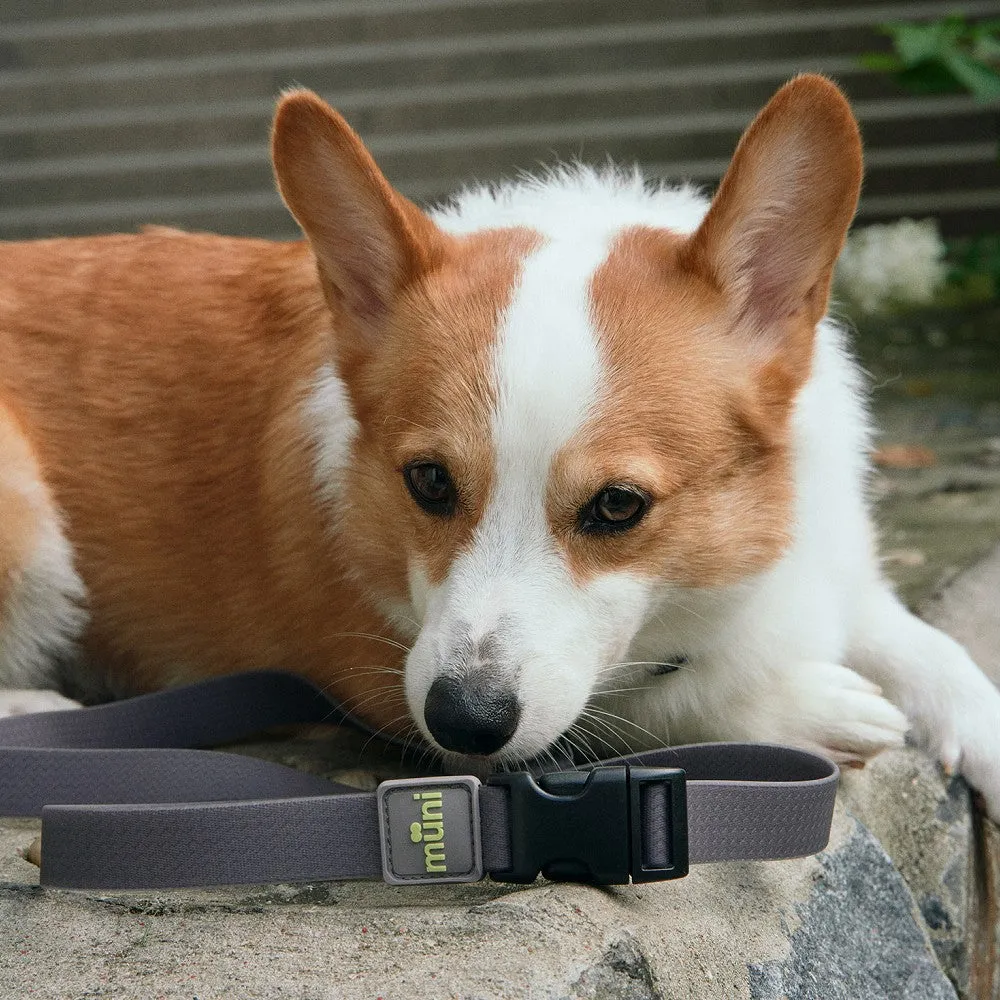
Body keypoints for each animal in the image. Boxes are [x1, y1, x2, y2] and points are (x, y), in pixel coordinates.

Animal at [1, 74, 1000, 816]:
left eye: (619, 506)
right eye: (429, 482)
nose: (465, 721)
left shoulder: (838, 577)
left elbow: (939, 656)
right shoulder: (373, 674)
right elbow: (649, 700)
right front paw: (805, 705)